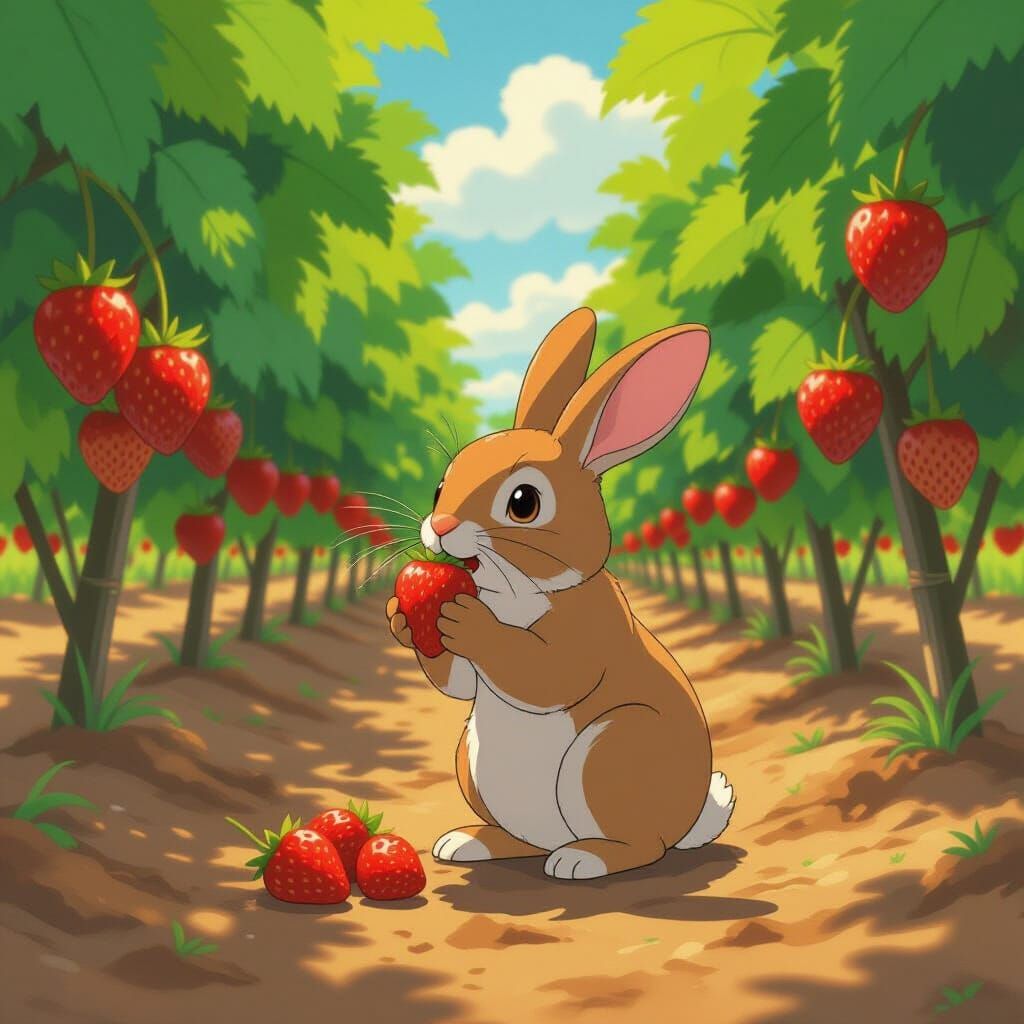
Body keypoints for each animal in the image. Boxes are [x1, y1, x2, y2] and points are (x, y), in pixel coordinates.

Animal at [384, 307, 734, 880]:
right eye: (439, 487)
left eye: (524, 502)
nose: (440, 525)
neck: (511, 589)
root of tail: (689, 822)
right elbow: (457, 681)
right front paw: (398, 615)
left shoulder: (588, 629)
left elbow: (545, 674)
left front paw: (464, 620)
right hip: (474, 765)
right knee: (524, 840)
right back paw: (470, 843)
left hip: (612, 752)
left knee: (644, 846)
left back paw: (583, 860)